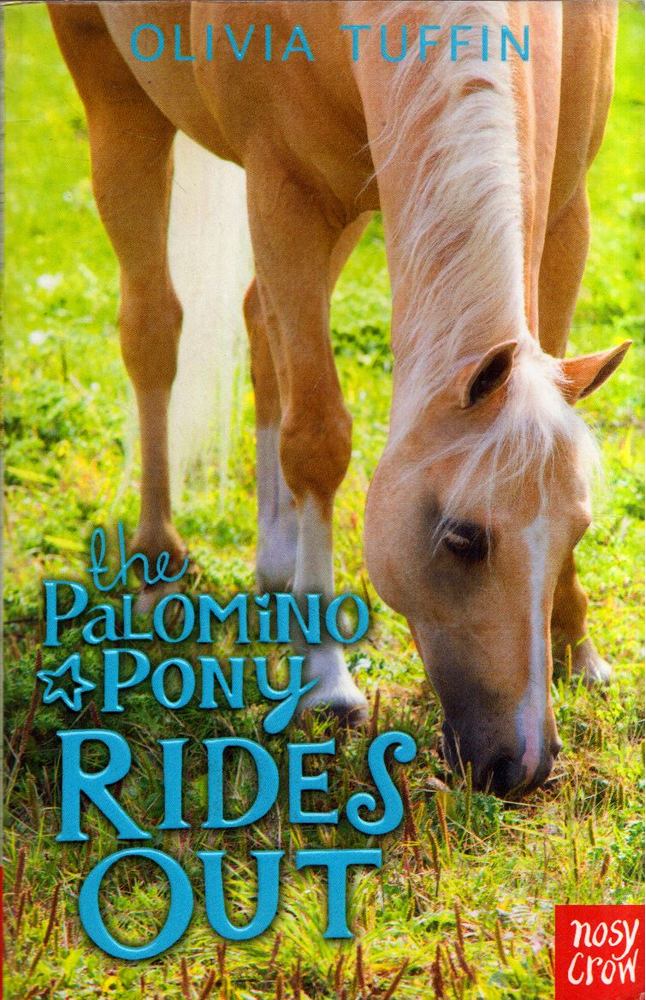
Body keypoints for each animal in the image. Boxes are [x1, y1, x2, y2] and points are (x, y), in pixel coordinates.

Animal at [48, 1, 629, 798]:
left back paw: (275, 559)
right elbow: (318, 439)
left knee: (259, 324)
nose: (524, 767)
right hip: (118, 98)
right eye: (463, 537)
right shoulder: (285, 190)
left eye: (577, 530)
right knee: (153, 330)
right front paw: (327, 682)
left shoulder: (568, 203)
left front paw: (576, 644)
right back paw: (158, 559)